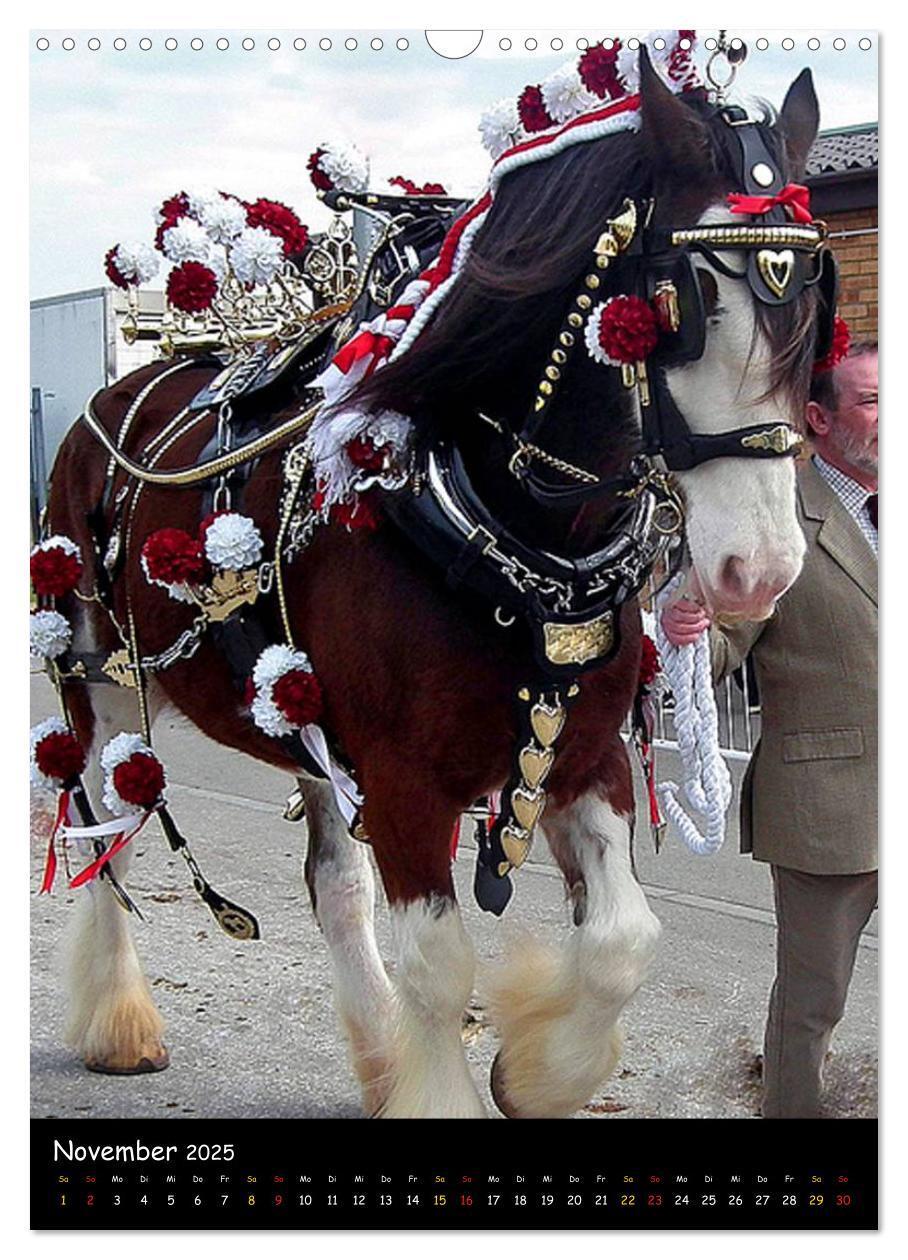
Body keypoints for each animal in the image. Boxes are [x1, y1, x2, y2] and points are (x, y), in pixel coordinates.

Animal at [35, 41, 831, 1123]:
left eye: (809, 303)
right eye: (680, 306)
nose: (762, 567)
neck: (503, 526)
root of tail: (109, 401)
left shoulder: (580, 752)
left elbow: (624, 941)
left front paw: (533, 1072)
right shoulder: (406, 780)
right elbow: (442, 966)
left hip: (301, 716)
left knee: (334, 887)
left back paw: (377, 1054)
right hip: (101, 678)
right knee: (101, 828)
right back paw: (120, 1021)